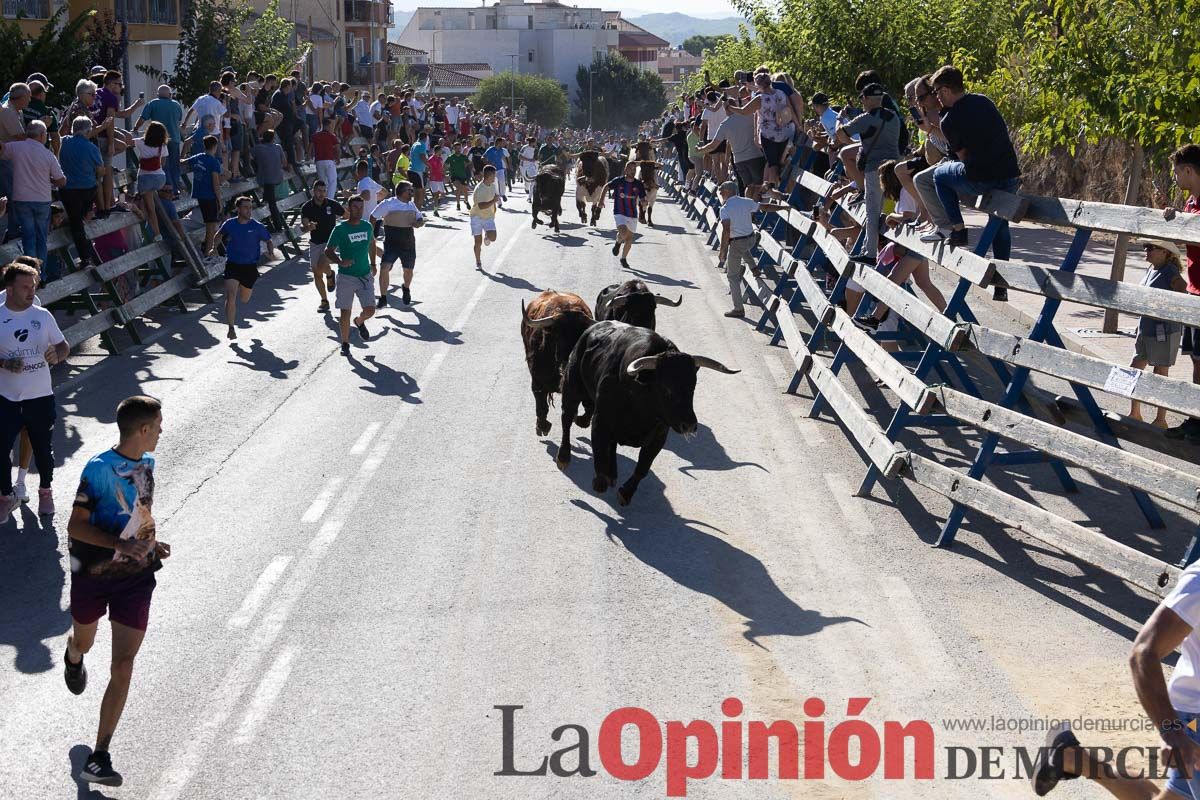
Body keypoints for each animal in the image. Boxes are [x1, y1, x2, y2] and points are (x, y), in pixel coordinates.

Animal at [520, 289, 595, 434]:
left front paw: (580, 420)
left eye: (580, 334)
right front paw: (542, 426)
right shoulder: (537, 380)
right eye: (558, 335)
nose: (568, 359)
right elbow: (541, 403)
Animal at [554, 321, 739, 503]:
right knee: (567, 420)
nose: (689, 425)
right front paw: (600, 482)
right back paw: (563, 458)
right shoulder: (601, 421)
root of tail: (590, 330)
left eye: (692, 387)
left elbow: (642, 467)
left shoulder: (659, 436)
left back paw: (612, 474)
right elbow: (600, 453)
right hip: (572, 388)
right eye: (666, 388)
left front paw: (625, 493)